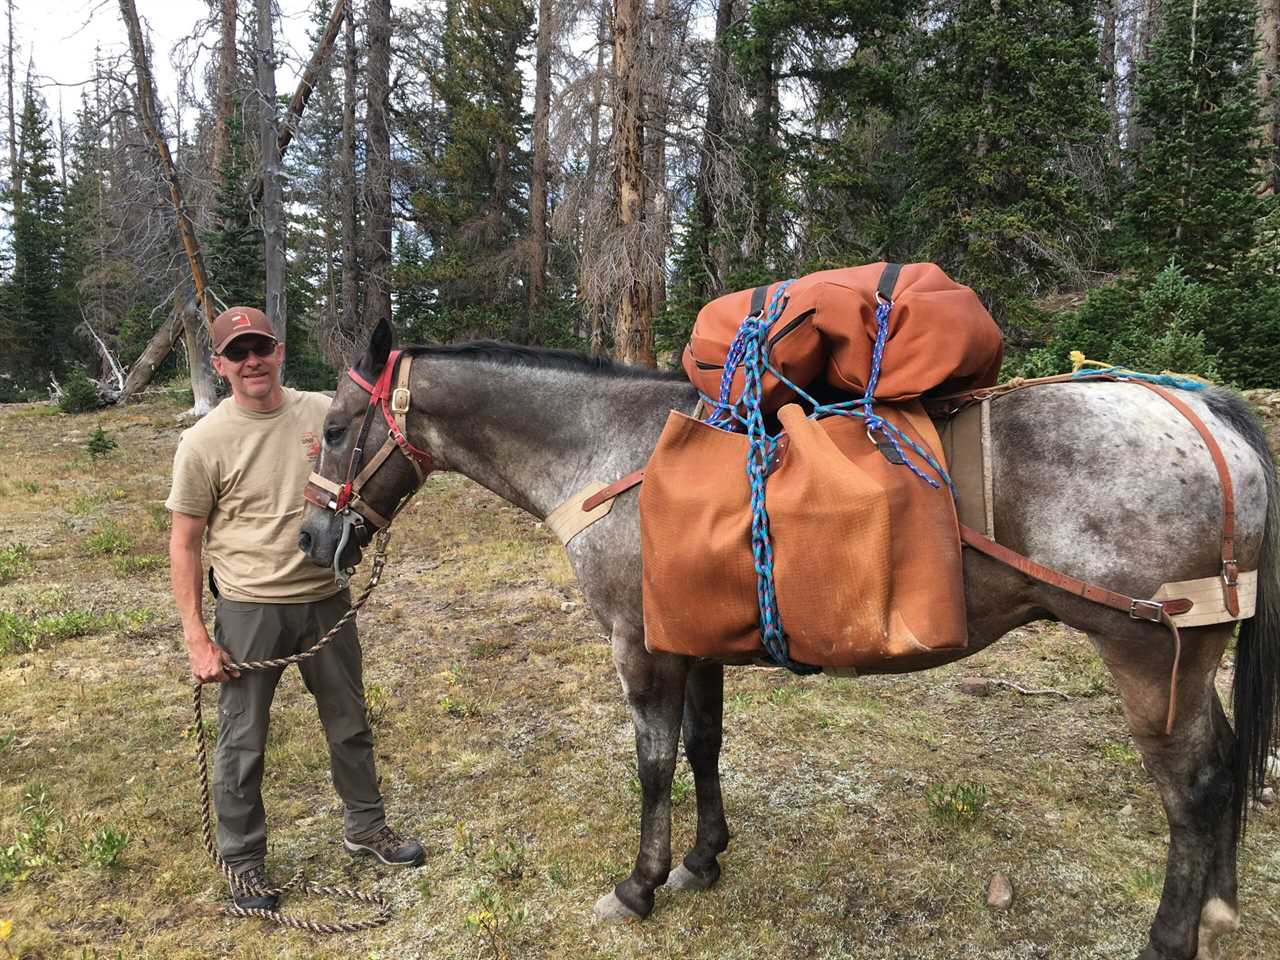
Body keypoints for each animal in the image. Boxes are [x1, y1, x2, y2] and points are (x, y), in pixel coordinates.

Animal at [302, 321, 1280, 960]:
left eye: (335, 427)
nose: (314, 540)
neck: (618, 453)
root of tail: (1198, 411)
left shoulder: (641, 649)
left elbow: (653, 764)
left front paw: (639, 884)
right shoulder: (691, 643)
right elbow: (703, 746)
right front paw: (702, 859)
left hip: (1147, 657)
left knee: (1194, 789)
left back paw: (1171, 937)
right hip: (1194, 657)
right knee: (1227, 761)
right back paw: (1219, 908)